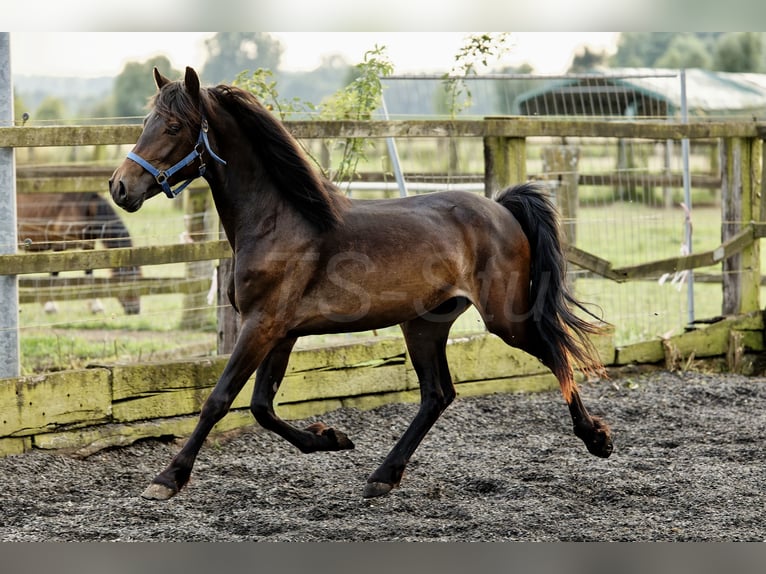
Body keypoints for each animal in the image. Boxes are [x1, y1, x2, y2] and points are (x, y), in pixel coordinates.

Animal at [108, 66, 616, 500]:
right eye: (148, 121)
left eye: (174, 127)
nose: (120, 188)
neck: (277, 223)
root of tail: (501, 207)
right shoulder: (282, 332)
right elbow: (261, 407)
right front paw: (331, 438)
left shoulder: (262, 325)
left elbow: (220, 399)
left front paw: (167, 479)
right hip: (424, 323)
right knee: (438, 394)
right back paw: (383, 476)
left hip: (505, 318)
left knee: (555, 353)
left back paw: (597, 438)